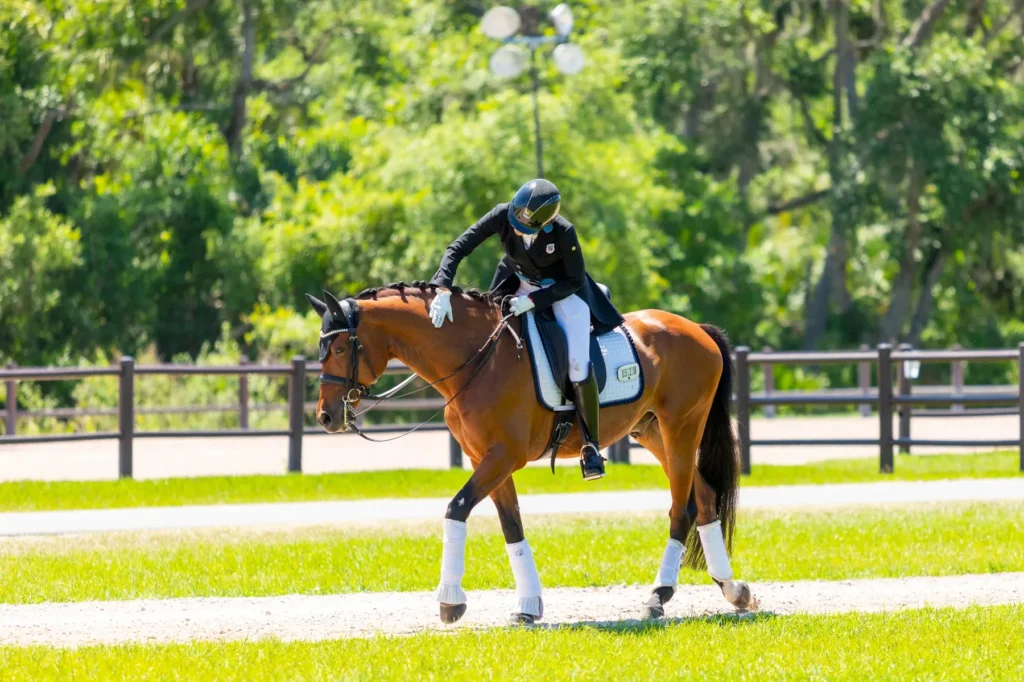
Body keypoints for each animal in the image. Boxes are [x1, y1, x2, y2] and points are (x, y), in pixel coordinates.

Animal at [307, 281, 754, 625]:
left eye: (341, 349)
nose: (326, 416)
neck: (478, 358)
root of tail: (696, 328)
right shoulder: (486, 459)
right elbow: (512, 527)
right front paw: (528, 605)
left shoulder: (504, 456)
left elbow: (456, 508)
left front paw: (450, 601)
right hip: (652, 432)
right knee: (705, 498)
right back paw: (733, 589)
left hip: (680, 429)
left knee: (682, 508)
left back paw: (658, 596)